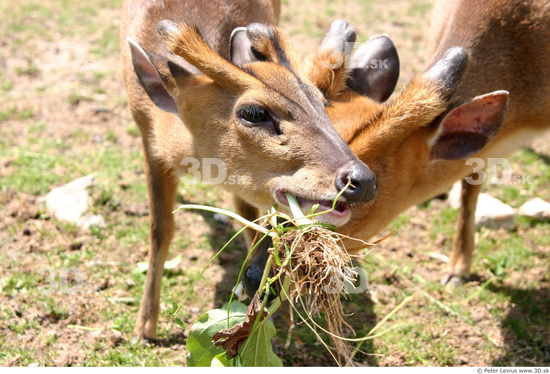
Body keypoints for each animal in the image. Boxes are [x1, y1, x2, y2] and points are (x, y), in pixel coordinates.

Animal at [120, 0, 380, 340]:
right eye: (255, 113)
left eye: (323, 104)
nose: (363, 180)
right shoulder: (147, 138)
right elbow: (160, 230)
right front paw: (144, 326)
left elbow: (251, 226)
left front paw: (255, 305)